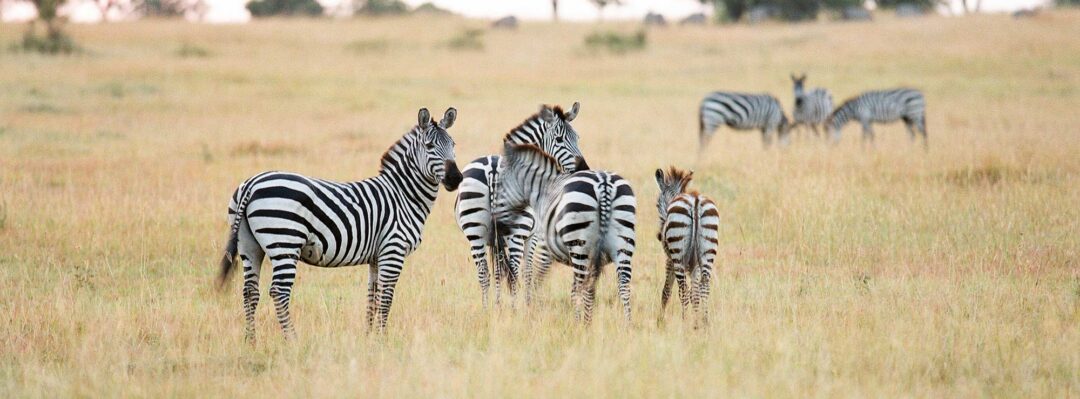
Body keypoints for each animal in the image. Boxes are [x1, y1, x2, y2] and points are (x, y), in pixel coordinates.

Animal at [217, 106, 462, 339]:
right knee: (279, 292)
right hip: (285, 241)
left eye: (453, 144)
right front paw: (383, 338)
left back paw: (251, 341)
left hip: (249, 245)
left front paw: (369, 337)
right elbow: (386, 297)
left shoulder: (376, 256)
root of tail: (252, 183)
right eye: (429, 146)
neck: (403, 195)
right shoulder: (393, 250)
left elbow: (372, 296)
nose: (456, 178)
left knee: (250, 291)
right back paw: (292, 339)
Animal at [455, 101, 591, 304]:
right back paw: (513, 308)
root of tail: (493, 169)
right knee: (513, 273)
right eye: (559, 139)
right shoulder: (533, 236)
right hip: (518, 232)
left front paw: (498, 305)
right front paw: (527, 304)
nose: (584, 169)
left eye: (577, 138)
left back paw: (486, 308)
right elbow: (527, 272)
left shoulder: (494, 241)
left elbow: (498, 273)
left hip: (474, 231)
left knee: (484, 274)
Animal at [498, 142, 635, 324]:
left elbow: (538, 277)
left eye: (498, 186)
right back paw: (626, 325)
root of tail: (604, 184)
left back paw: (580, 324)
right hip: (623, 243)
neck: (544, 188)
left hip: (580, 245)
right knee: (623, 285)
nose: (498, 225)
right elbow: (577, 288)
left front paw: (531, 307)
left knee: (583, 285)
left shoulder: (545, 247)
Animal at [652, 166, 721, 324]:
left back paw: (684, 322)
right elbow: (694, 294)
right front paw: (696, 320)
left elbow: (667, 291)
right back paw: (705, 322)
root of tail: (695, 200)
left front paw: (660, 320)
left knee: (682, 290)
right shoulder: (695, 265)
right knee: (704, 287)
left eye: (657, 204)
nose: (659, 236)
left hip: (678, 256)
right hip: (707, 251)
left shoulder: (669, 260)